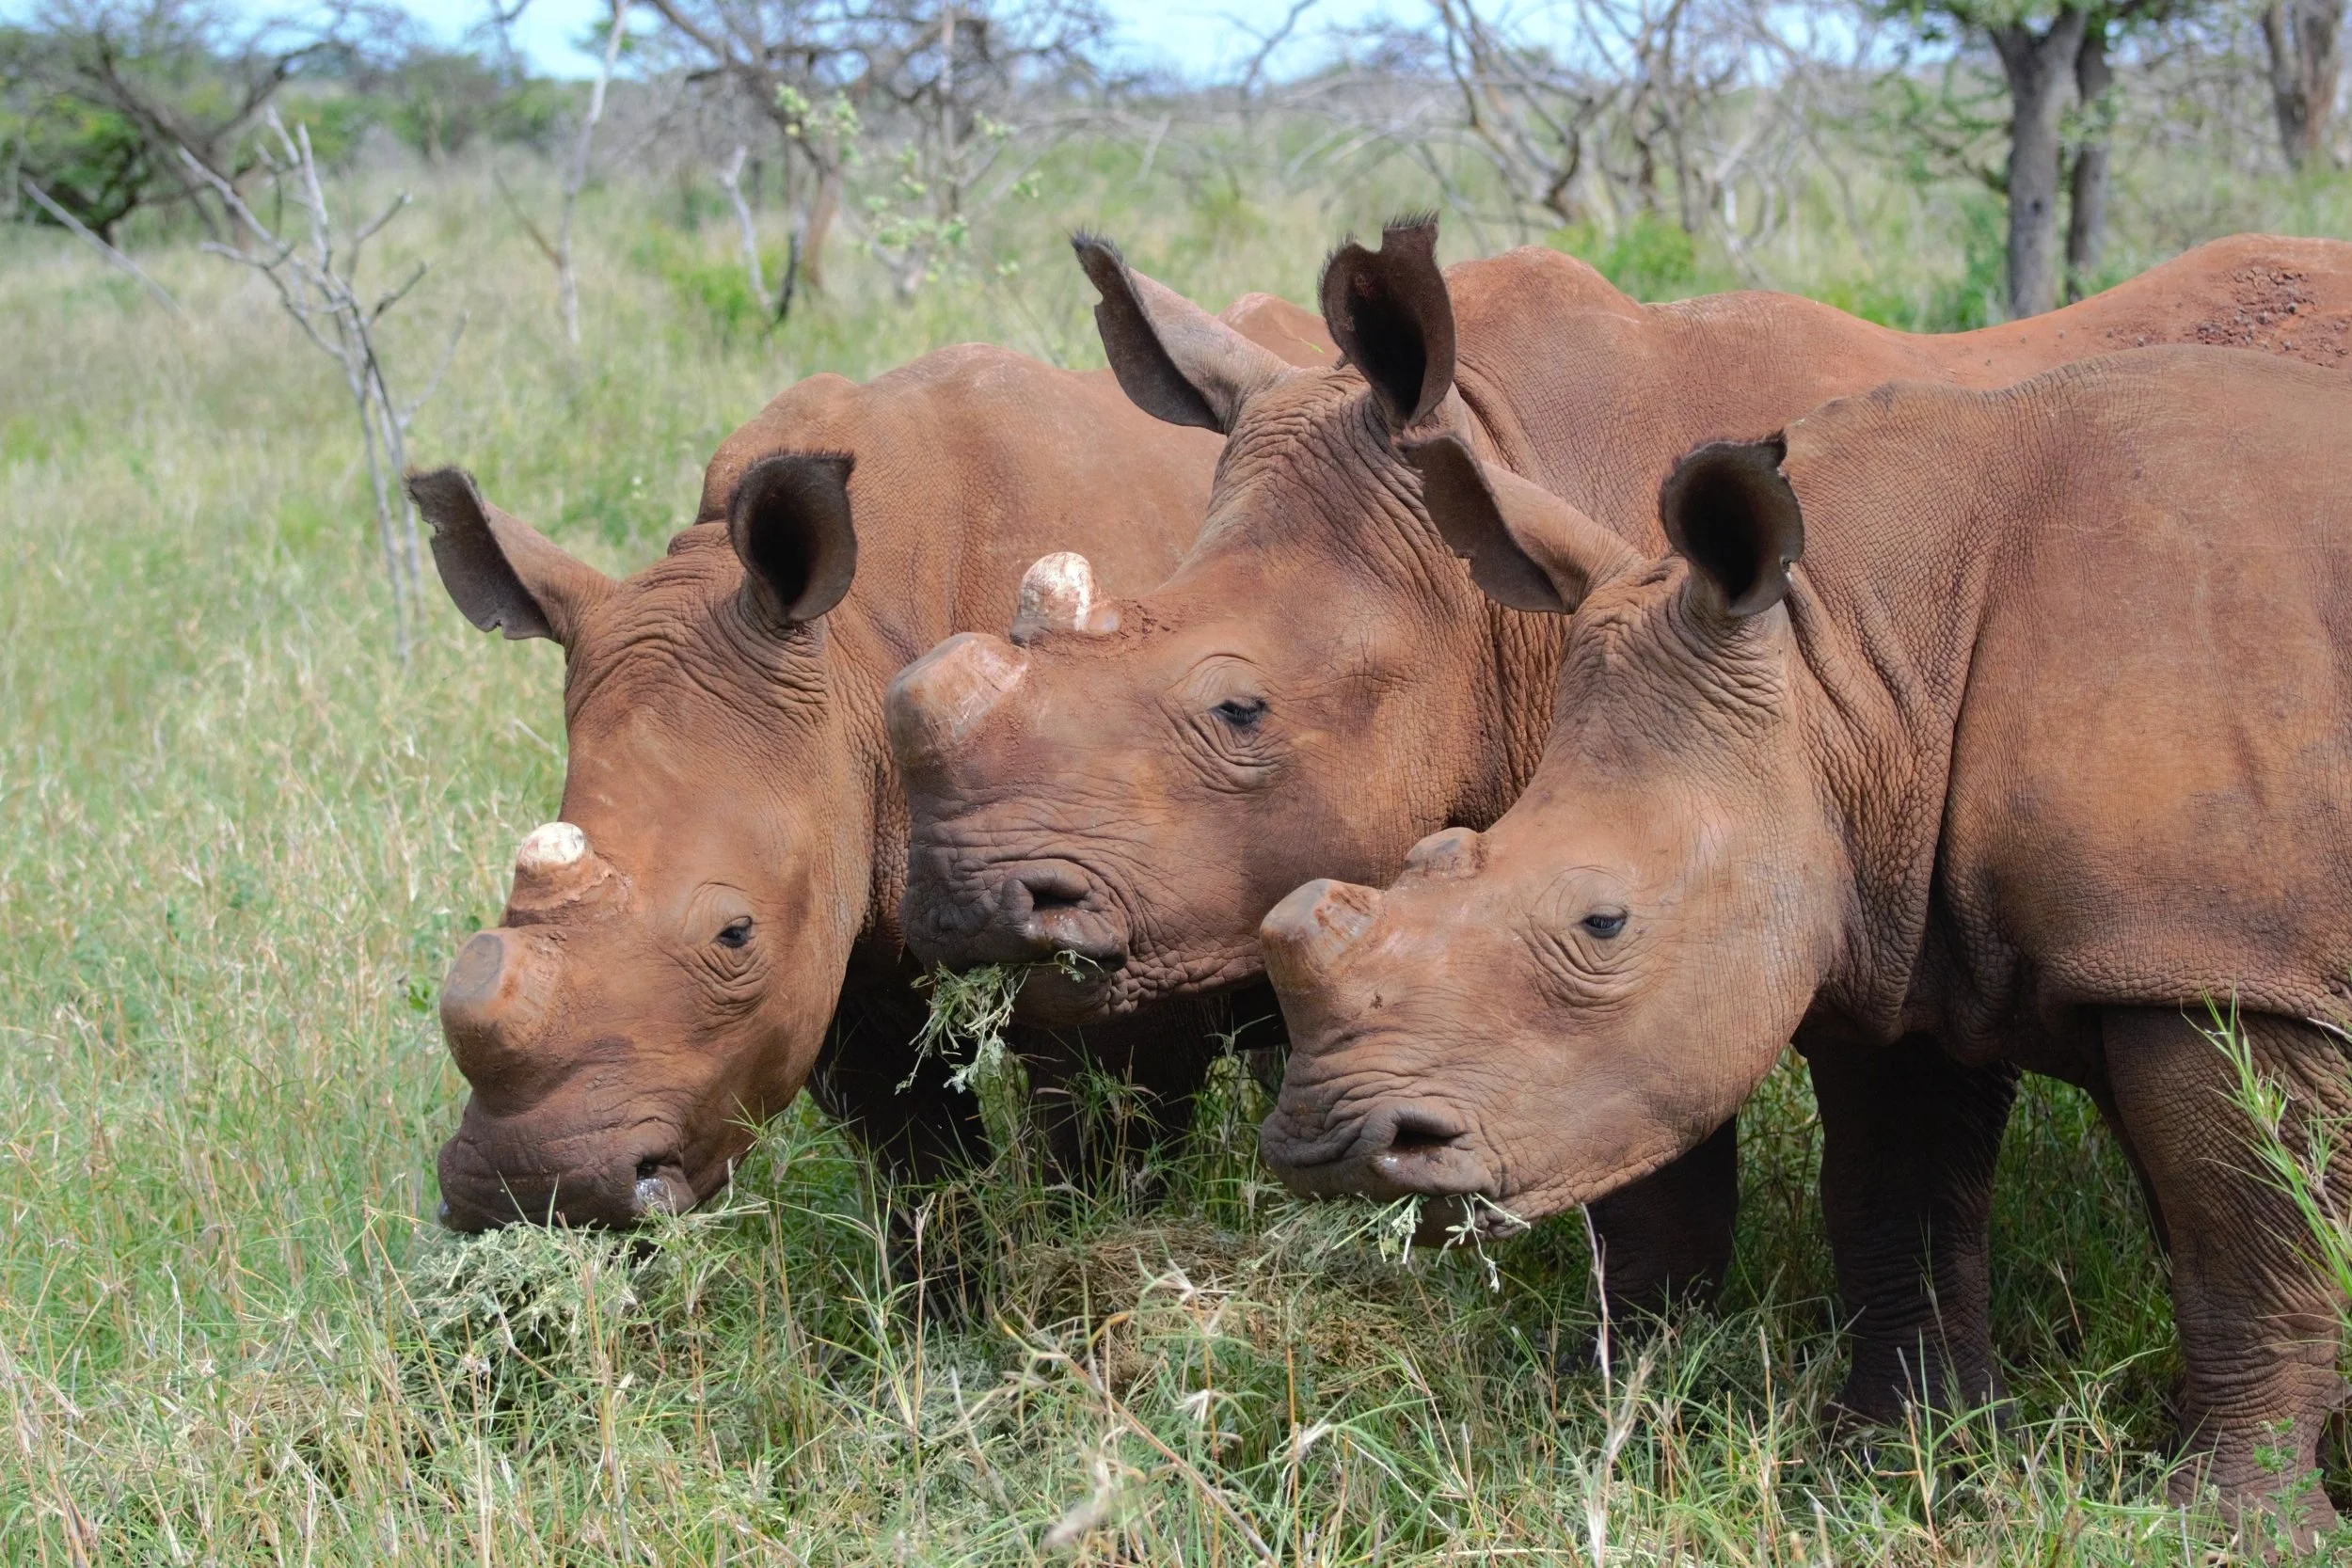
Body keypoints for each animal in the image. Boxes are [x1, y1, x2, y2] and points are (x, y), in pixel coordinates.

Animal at [414, 294, 1331, 1231]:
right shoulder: (838, 962)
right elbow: (921, 1177)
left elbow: (1104, 1164)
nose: (533, 1184)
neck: (852, 646)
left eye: (735, 934)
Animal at [1258, 348, 2352, 1535]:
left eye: (1602, 921)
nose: (1328, 1141)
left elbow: (2251, 1246)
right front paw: (1900, 1462)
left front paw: (2232, 1525)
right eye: (1436, 850)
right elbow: (1894, 1199)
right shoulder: (1901, 930)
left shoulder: (2223, 960)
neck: (1855, 664)